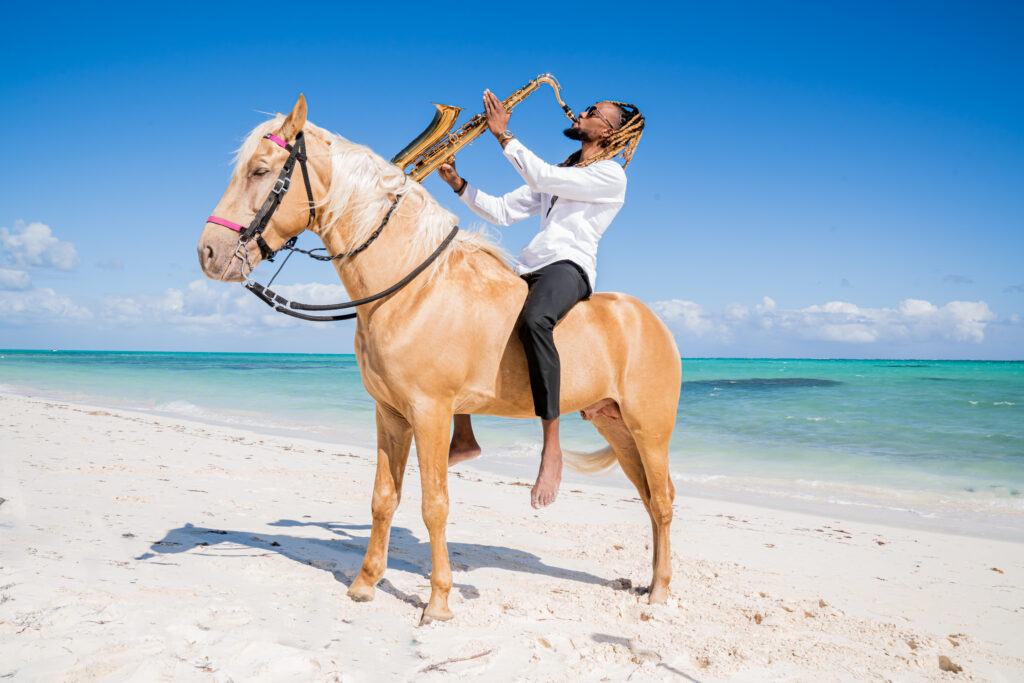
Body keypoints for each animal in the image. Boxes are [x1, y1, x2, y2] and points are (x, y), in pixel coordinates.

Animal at [196, 96, 684, 626]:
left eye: (261, 170)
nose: (209, 252)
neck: (411, 287)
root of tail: (657, 325)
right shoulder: (390, 414)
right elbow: (384, 498)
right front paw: (365, 584)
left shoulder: (430, 413)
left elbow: (434, 505)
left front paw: (438, 602)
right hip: (615, 426)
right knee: (648, 497)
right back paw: (650, 583)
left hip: (649, 429)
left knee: (662, 500)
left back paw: (660, 592)